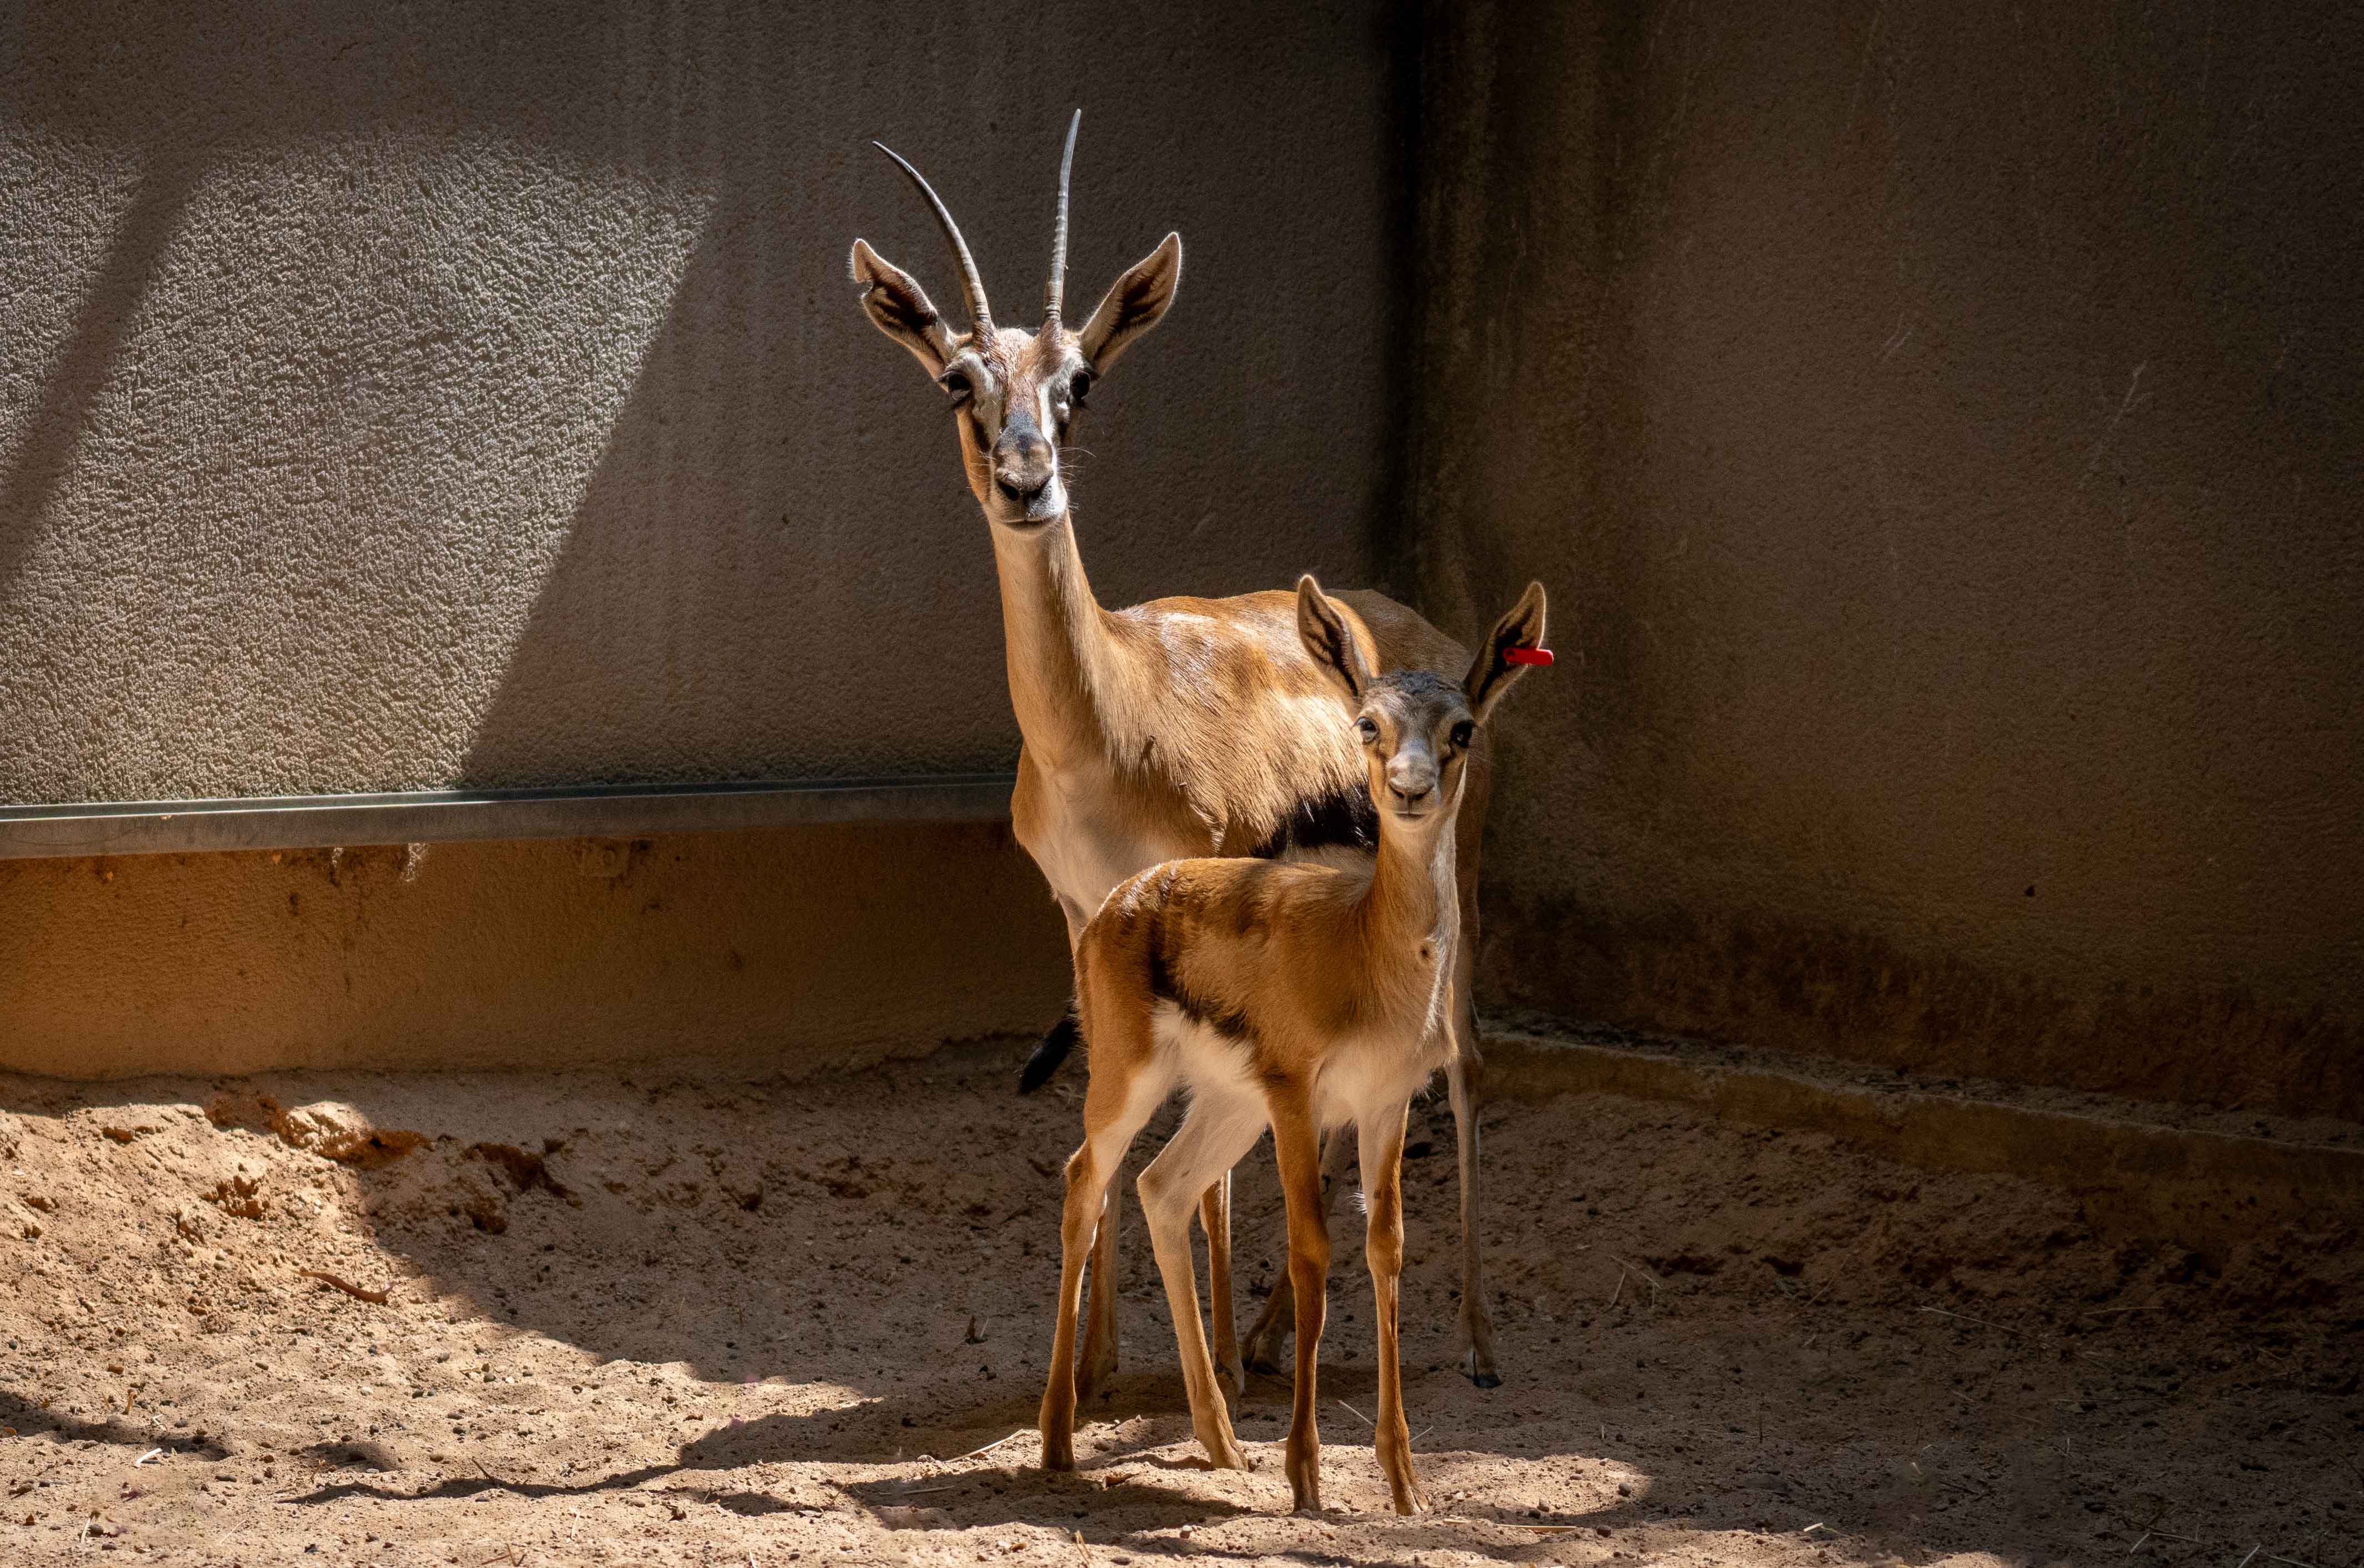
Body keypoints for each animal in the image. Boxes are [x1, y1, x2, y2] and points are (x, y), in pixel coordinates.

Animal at [1045, 570, 1541, 1514]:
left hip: (1225, 1108)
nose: (1409, 788)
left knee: (1163, 1187)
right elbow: (1311, 1250)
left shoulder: (1382, 1104)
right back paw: (1059, 1438)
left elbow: (1384, 1250)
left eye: (1460, 727)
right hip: (1131, 1085)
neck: (1361, 949)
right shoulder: (1296, 1094)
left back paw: (1220, 1440)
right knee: (1085, 1180)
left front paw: (1403, 1480)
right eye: (1367, 724)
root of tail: (1122, 899)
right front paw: (1307, 1472)